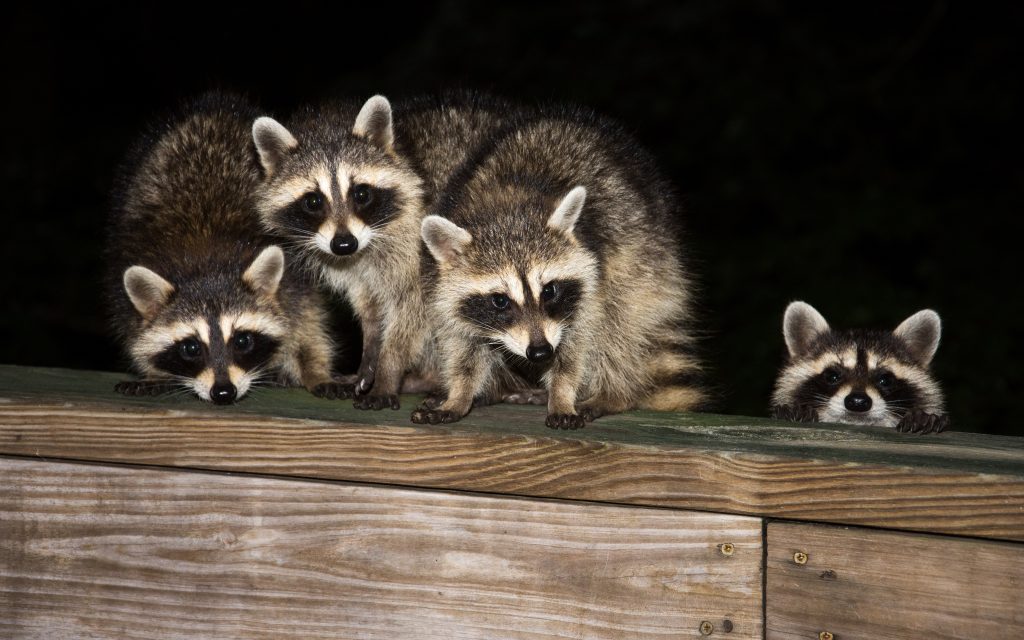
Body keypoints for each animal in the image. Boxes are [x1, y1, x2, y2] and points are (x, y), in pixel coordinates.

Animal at [106, 93, 341, 404]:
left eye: (242, 340)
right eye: (191, 348)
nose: (223, 392)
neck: (206, 260)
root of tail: (215, 106)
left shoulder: (295, 277)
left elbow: (307, 322)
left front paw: (315, 370)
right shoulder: (127, 270)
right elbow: (136, 333)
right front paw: (153, 372)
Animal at [251, 93, 518, 409]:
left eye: (361, 193)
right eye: (313, 201)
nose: (344, 244)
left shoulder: (420, 245)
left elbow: (414, 310)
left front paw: (388, 371)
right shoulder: (353, 266)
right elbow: (370, 306)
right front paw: (370, 354)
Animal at [413, 107, 705, 429]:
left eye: (549, 290)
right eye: (500, 300)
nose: (540, 351)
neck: (506, 209)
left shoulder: (593, 278)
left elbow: (577, 342)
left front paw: (563, 393)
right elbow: (464, 342)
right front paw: (459, 394)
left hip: (645, 257)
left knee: (623, 322)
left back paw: (613, 394)